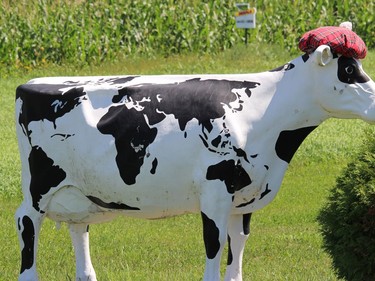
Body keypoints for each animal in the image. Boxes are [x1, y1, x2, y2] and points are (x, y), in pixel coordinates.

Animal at [13, 44, 375, 280]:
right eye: (348, 71)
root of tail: (31, 84)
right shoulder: (215, 191)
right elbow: (215, 247)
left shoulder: (245, 197)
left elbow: (237, 252)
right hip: (39, 185)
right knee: (26, 222)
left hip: (78, 191)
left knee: (79, 231)